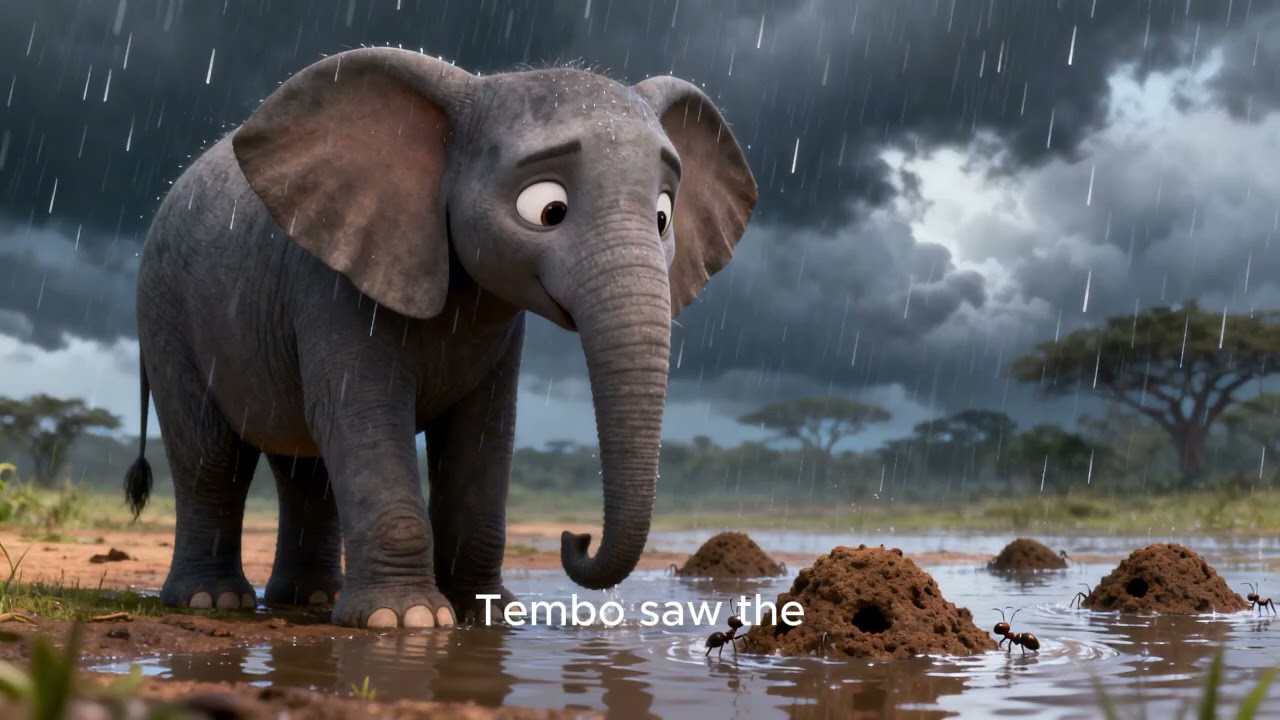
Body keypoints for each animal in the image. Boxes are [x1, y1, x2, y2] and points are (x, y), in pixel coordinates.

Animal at [123, 46, 757, 629]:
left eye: (663, 217)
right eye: (548, 209)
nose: (573, 538)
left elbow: (482, 435)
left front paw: (488, 615)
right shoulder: (331, 283)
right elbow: (364, 415)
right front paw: (406, 622)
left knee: (305, 471)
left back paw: (312, 600)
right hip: (165, 309)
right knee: (211, 455)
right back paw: (212, 602)